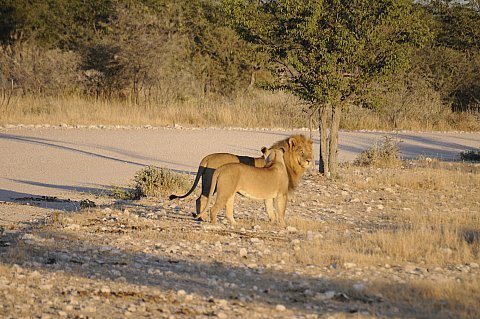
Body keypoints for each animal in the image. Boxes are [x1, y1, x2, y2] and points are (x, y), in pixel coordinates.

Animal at [168, 135, 312, 218]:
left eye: (310, 151)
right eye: (301, 151)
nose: (309, 160)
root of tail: (207, 157)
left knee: (199, 199)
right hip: (210, 185)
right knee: (201, 199)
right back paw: (203, 218)